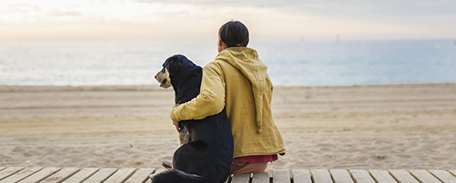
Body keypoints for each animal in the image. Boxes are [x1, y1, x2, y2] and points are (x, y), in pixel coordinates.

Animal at [152, 54, 233, 183]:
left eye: (163, 67)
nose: (155, 76)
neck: (186, 76)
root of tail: (212, 176)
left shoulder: (182, 128)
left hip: (181, 150)